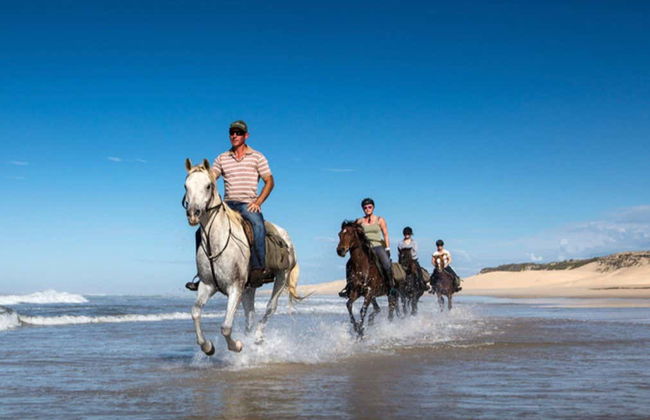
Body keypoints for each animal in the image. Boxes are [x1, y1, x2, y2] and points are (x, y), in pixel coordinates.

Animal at [183, 158, 304, 355]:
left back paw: (258, 338)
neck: (217, 241)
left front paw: (237, 346)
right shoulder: (207, 286)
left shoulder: (235, 288)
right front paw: (208, 347)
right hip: (251, 287)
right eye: (186, 186)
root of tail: (286, 237)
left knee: (270, 308)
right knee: (250, 316)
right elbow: (195, 312)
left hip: (281, 277)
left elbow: (225, 327)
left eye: (208, 186)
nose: (193, 214)